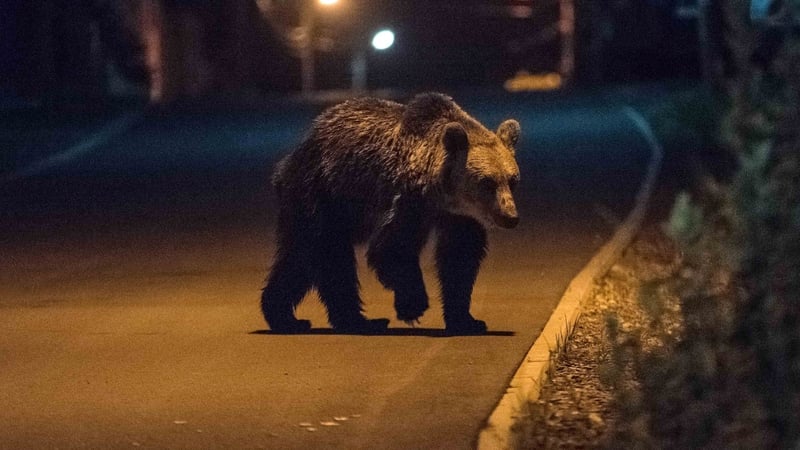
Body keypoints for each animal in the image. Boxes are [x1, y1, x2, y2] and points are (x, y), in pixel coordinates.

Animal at [261, 92, 521, 335]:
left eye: (512, 180)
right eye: (487, 182)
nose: (510, 217)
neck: (442, 193)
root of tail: (291, 157)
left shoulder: (459, 216)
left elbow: (460, 257)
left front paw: (467, 321)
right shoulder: (409, 199)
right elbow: (392, 247)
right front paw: (413, 306)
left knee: (305, 258)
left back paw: (294, 317)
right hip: (321, 194)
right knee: (324, 253)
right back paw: (344, 320)